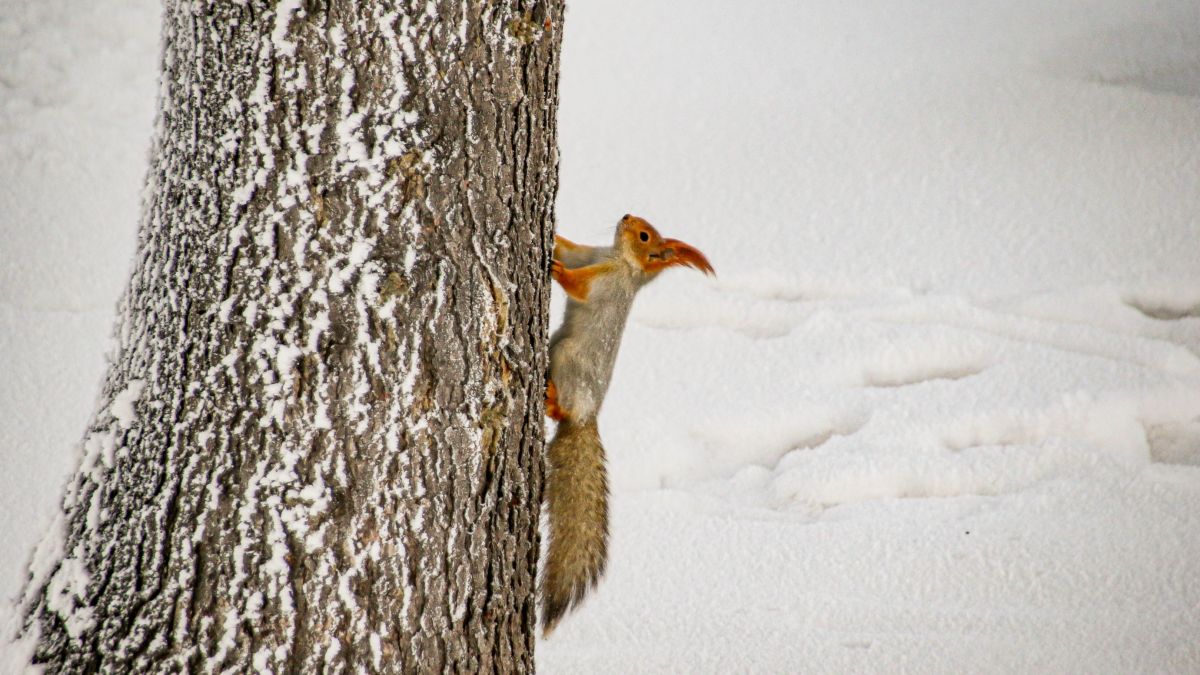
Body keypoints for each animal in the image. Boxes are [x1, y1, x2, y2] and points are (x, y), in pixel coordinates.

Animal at [542, 213, 710, 629]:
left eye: (645, 236)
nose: (626, 216)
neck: (618, 259)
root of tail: (587, 416)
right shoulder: (591, 254)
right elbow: (571, 248)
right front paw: (554, 235)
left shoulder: (605, 285)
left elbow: (579, 286)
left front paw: (557, 271)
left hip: (568, 360)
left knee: (562, 408)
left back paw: (551, 399)